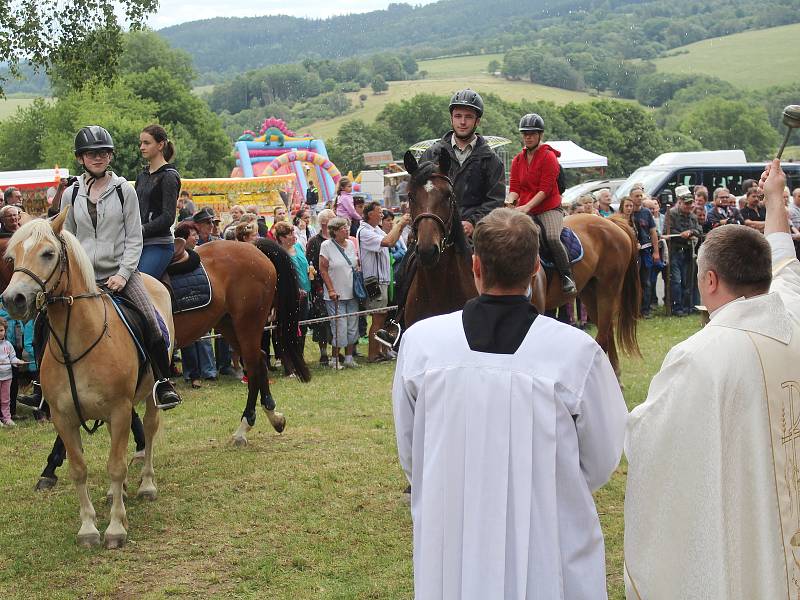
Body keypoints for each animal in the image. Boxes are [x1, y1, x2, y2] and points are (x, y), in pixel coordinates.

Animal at [1, 212, 172, 548]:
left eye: (48, 253)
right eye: (12, 257)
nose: (14, 299)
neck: (78, 341)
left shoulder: (119, 409)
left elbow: (116, 465)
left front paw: (116, 528)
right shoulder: (63, 417)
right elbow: (79, 469)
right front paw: (88, 529)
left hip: (149, 395)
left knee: (148, 428)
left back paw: (146, 485)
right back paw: (116, 493)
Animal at [404, 150, 640, 378]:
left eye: (448, 196)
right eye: (410, 196)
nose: (427, 250)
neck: (440, 287)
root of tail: (612, 223)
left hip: (607, 291)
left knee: (603, 335)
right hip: (590, 293)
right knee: (606, 330)